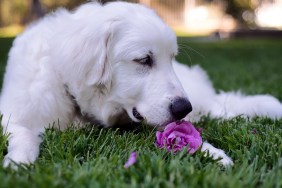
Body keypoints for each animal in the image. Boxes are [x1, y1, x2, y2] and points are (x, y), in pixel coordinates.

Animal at [0, 1, 282, 167]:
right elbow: (24, 133)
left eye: (171, 58)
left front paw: (214, 153)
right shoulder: (14, 112)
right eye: (144, 60)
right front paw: (18, 162)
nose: (184, 108)